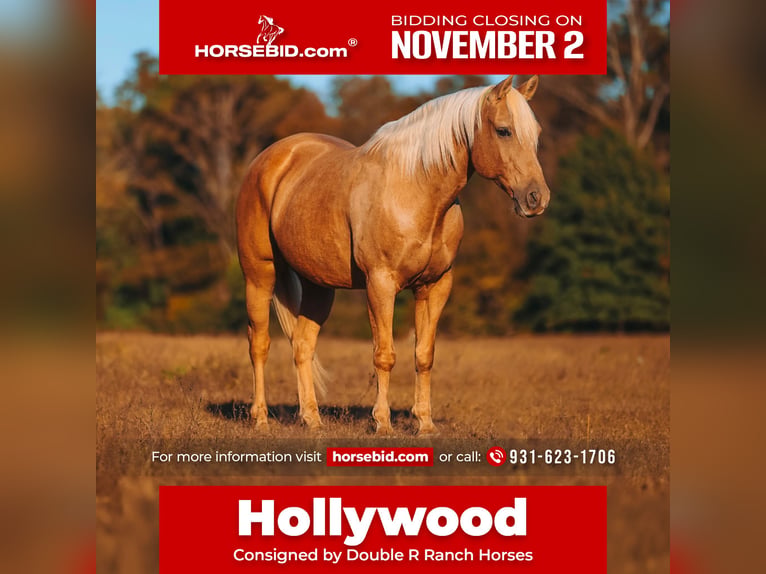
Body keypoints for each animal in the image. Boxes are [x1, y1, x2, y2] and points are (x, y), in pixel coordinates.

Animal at [236, 75, 550, 435]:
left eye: (536, 133)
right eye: (503, 130)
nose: (537, 198)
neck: (415, 189)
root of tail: (271, 158)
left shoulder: (435, 286)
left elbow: (424, 355)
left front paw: (425, 424)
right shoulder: (381, 285)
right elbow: (384, 355)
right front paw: (382, 423)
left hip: (318, 286)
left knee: (302, 345)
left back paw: (312, 419)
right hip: (259, 275)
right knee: (259, 343)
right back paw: (260, 418)